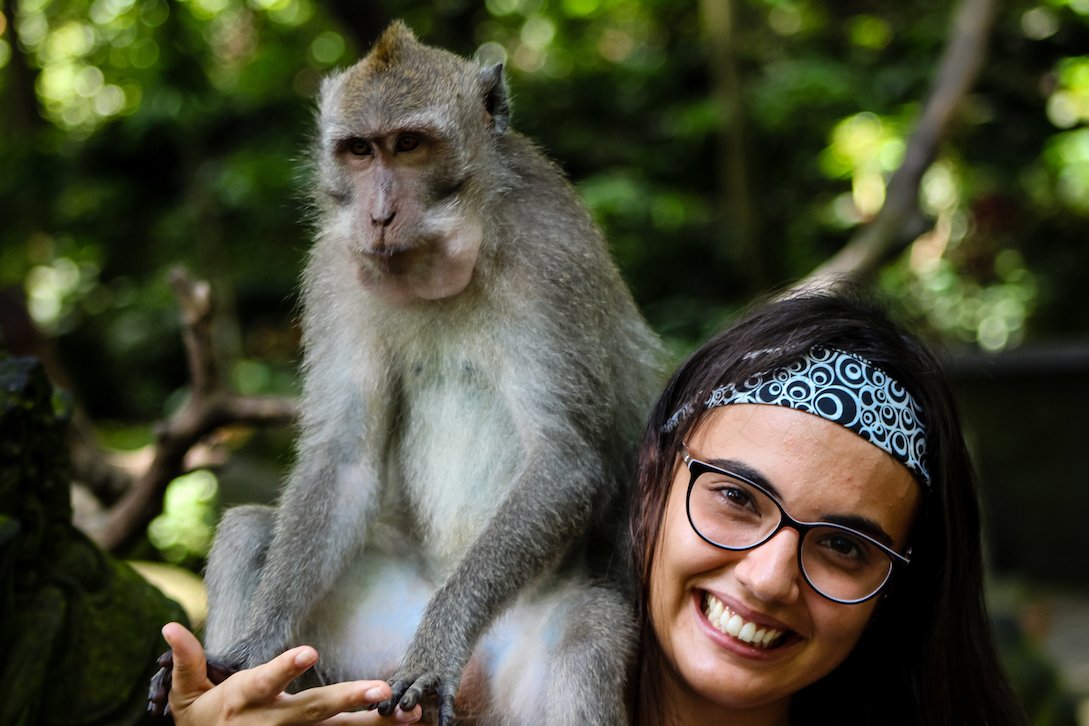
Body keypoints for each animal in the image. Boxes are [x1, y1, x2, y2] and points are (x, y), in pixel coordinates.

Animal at [151, 19, 662, 722]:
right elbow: (343, 457)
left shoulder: (551, 259)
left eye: (410, 145)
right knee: (249, 530)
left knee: (589, 630)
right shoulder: (337, 268)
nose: (380, 214)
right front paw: (251, 652)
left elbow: (563, 459)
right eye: (361, 151)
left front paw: (434, 650)